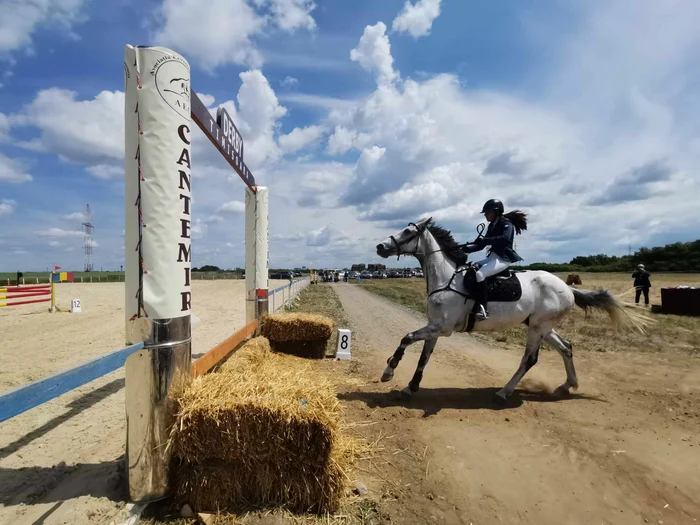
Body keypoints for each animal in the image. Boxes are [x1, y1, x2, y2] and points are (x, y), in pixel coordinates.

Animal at [374, 215, 652, 404]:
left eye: (407, 231)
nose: (380, 247)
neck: (446, 278)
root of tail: (567, 287)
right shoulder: (435, 327)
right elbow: (424, 356)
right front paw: (410, 387)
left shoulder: (442, 328)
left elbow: (407, 338)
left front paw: (389, 371)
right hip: (542, 326)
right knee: (566, 348)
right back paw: (567, 385)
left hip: (538, 328)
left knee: (530, 359)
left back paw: (504, 392)